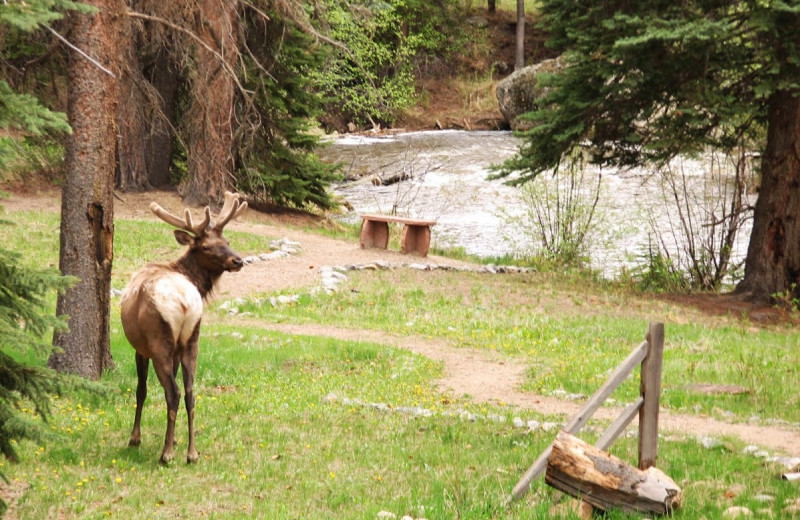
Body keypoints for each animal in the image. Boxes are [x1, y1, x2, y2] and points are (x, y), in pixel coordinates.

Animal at [120, 191, 247, 464]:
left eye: (227, 240)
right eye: (207, 246)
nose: (238, 260)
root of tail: (184, 302)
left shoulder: (140, 348)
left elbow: (141, 390)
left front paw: (135, 438)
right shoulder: (178, 349)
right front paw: (176, 439)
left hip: (159, 340)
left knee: (174, 392)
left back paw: (166, 454)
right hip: (192, 339)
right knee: (190, 392)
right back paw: (192, 452)